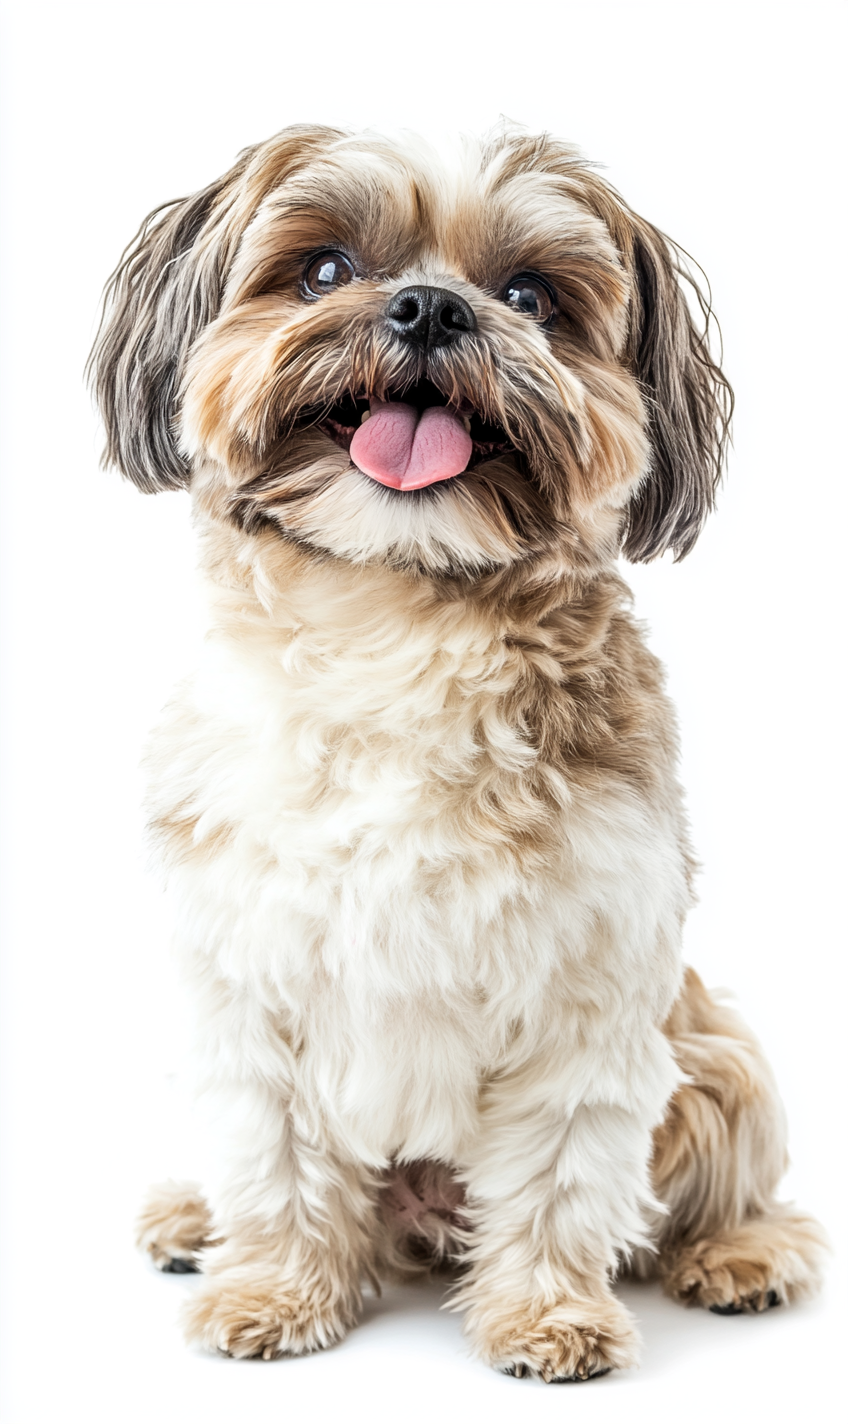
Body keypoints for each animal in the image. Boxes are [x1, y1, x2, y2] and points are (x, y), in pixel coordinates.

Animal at [91, 125, 830, 1378]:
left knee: (721, 1176)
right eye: (325, 270)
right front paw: (276, 1289)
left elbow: (555, 1169)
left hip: (716, 1048)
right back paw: (199, 1219)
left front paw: (546, 1312)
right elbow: (275, 1151)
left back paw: (740, 1251)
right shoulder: (247, 973)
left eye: (529, 296)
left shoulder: (589, 978)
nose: (431, 307)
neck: (396, 618)